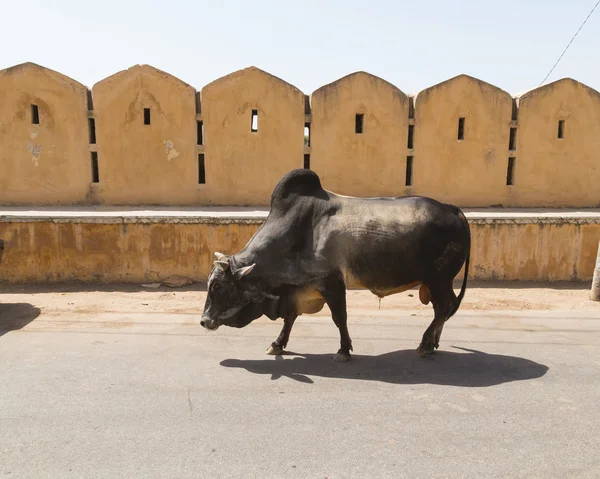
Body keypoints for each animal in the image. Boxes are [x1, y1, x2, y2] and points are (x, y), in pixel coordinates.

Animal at [204, 169, 472, 360]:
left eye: (218, 286)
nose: (204, 321)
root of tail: (453, 209)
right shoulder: (298, 289)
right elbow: (290, 319)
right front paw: (277, 344)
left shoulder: (331, 282)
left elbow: (339, 317)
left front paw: (344, 350)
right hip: (437, 282)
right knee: (443, 309)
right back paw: (433, 343)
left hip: (439, 279)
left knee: (444, 307)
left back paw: (425, 344)